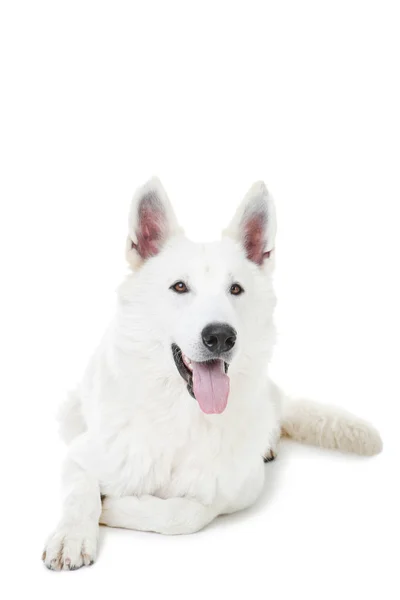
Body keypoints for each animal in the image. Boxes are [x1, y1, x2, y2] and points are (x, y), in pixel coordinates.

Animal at [42, 178, 382, 572]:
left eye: (235, 289)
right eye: (179, 287)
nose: (220, 336)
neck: (182, 417)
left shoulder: (239, 488)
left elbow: (183, 513)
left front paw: (112, 506)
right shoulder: (80, 455)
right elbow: (79, 493)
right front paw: (71, 536)